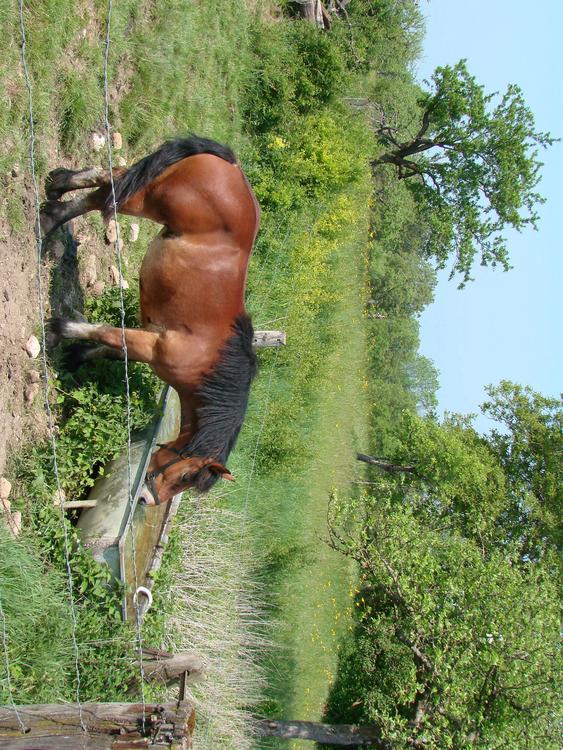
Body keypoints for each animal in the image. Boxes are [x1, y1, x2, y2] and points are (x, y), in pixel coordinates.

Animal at [41, 138, 260, 508]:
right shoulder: (153, 345)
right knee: (105, 194)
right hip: (143, 200)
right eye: (186, 476)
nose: (146, 499)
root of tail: (231, 165)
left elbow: (110, 350)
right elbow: (108, 334)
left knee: (109, 174)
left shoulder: (145, 341)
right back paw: (49, 220)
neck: (207, 363)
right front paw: (58, 332)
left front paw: (77, 357)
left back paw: (58, 186)